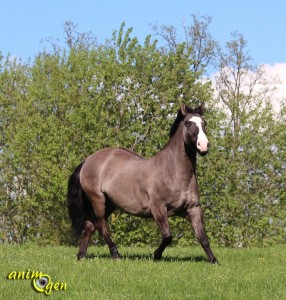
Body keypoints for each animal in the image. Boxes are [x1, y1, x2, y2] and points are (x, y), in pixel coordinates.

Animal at [67, 102, 219, 262]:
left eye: (204, 123)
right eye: (188, 123)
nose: (203, 146)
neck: (174, 173)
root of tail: (87, 161)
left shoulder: (194, 209)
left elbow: (203, 238)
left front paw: (214, 260)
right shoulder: (158, 209)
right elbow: (168, 237)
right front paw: (155, 255)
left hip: (109, 203)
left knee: (89, 226)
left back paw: (81, 256)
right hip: (98, 200)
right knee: (101, 226)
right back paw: (115, 254)